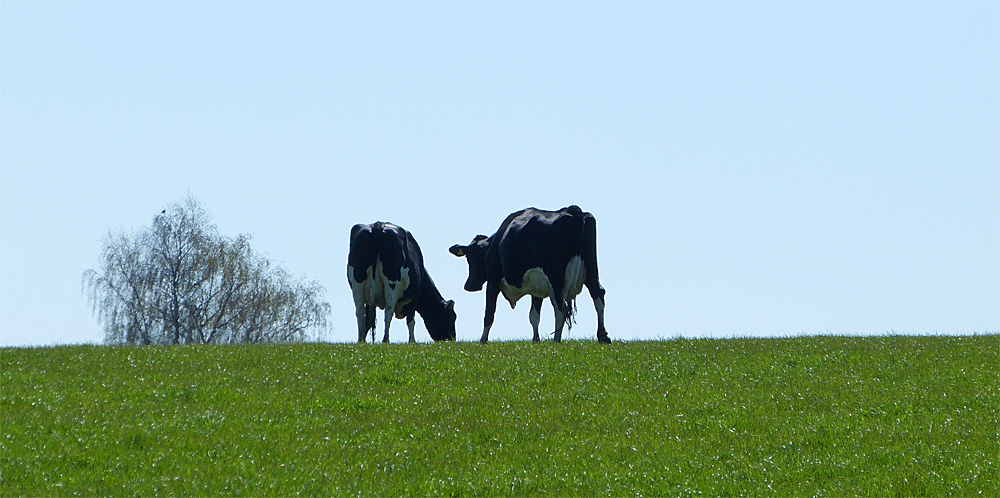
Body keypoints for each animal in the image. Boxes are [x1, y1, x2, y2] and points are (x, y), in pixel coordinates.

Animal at [448, 205, 608, 342]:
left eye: (469, 258)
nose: (469, 285)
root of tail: (573, 210)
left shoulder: (493, 279)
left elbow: (489, 312)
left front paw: (483, 340)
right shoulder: (537, 286)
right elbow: (534, 315)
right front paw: (536, 340)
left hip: (555, 277)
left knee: (560, 308)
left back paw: (556, 340)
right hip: (591, 269)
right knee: (598, 294)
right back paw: (603, 336)